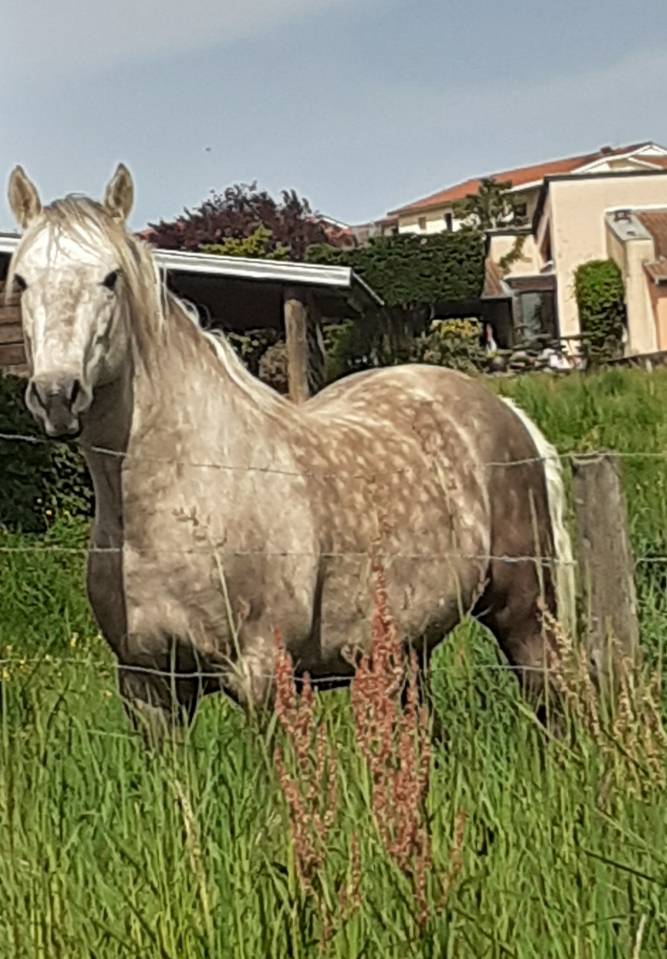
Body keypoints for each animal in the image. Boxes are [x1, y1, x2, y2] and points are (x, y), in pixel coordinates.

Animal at [7, 163, 576, 744]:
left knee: (550, 702)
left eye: (111, 279)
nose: (57, 396)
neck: (182, 497)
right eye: (22, 281)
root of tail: (505, 411)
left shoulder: (261, 677)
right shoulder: (147, 688)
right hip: (407, 647)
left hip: (525, 614)